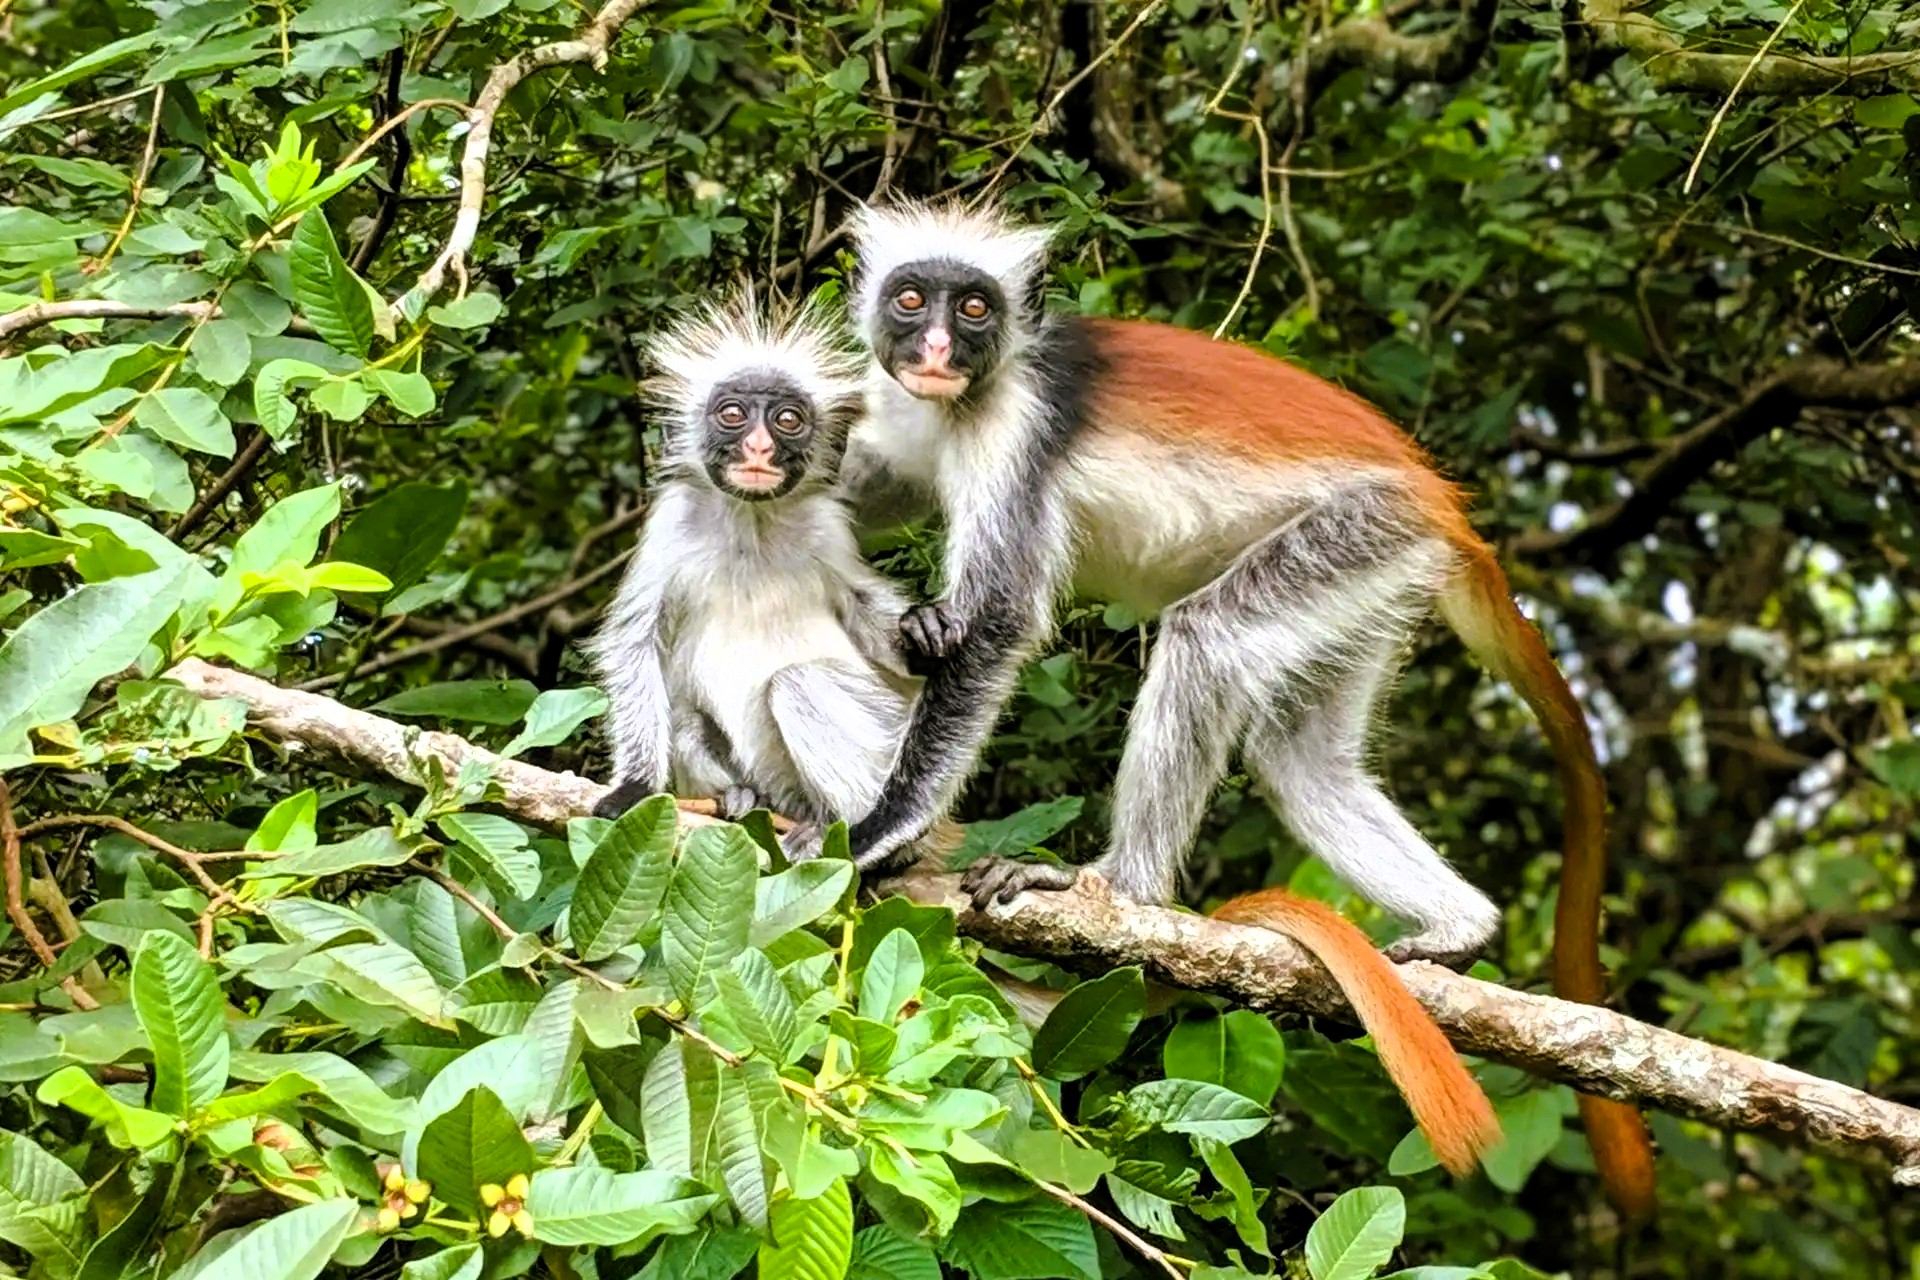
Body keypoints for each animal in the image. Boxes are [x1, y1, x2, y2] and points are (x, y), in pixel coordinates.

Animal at [587, 297, 917, 832]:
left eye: (787, 420)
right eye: (733, 414)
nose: (759, 447)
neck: (752, 523)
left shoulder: (828, 527)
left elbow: (864, 608)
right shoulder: (670, 523)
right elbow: (635, 643)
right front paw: (634, 785)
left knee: (799, 682)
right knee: (688, 720)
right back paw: (742, 797)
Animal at [835, 201, 1654, 1218]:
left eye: (975, 307)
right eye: (912, 299)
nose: (941, 347)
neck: (965, 396)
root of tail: (1442, 503)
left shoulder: (1015, 428)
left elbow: (996, 624)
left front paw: (879, 832)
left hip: (1357, 531)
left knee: (1207, 639)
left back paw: (1122, 892)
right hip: (1380, 578)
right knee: (1304, 764)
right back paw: (1461, 926)